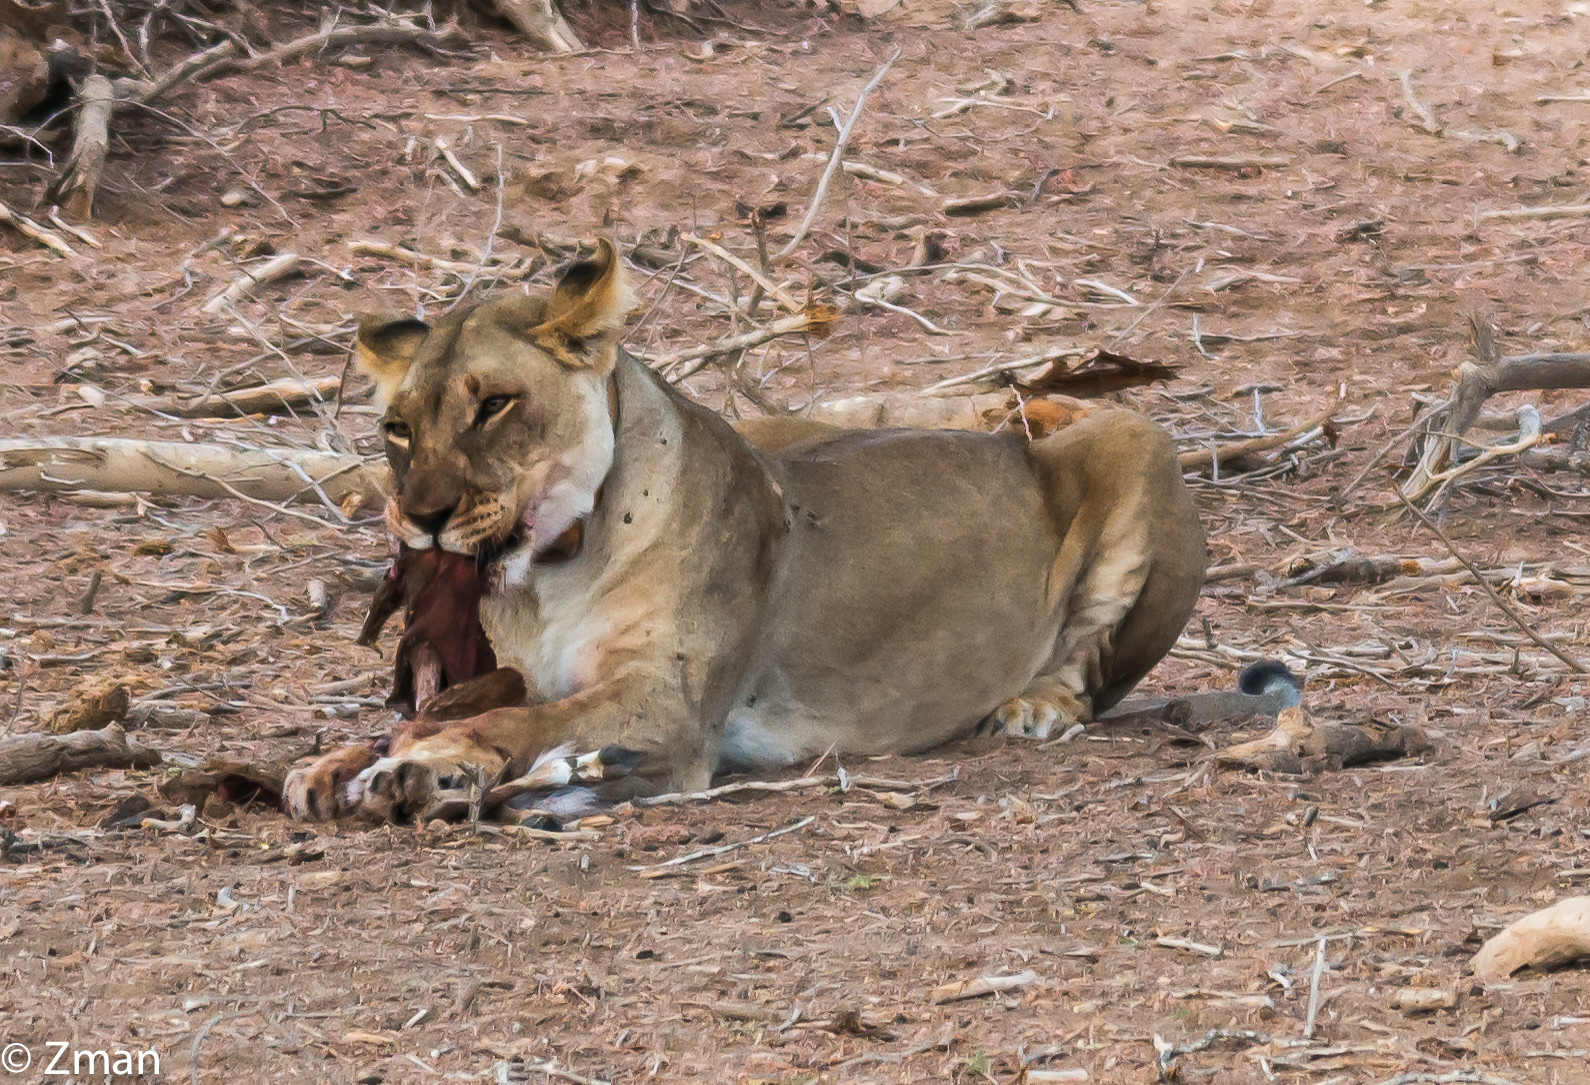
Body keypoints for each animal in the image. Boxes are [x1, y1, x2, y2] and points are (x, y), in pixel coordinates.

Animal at [283, 239, 1207, 822]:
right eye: (398, 428)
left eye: (495, 404)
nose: (420, 517)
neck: (550, 577)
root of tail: (1011, 438)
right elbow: (452, 712)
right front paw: (334, 763)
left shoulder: (670, 706)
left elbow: (514, 725)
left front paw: (415, 766)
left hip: (1136, 434)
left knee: (1092, 672)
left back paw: (1032, 708)